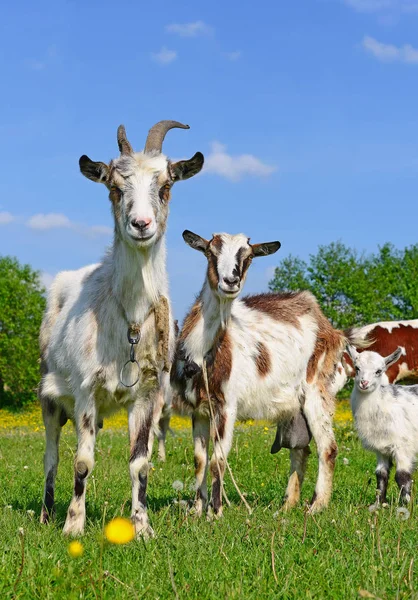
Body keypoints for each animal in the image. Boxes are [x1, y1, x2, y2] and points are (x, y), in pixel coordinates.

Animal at [171, 230, 360, 516]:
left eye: (248, 257)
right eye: (210, 251)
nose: (231, 281)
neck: (203, 352)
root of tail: (332, 329)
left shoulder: (227, 406)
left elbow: (217, 460)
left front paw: (215, 513)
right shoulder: (199, 409)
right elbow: (199, 460)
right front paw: (195, 511)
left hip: (318, 388)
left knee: (328, 448)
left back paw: (316, 506)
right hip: (295, 405)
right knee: (300, 450)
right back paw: (287, 505)